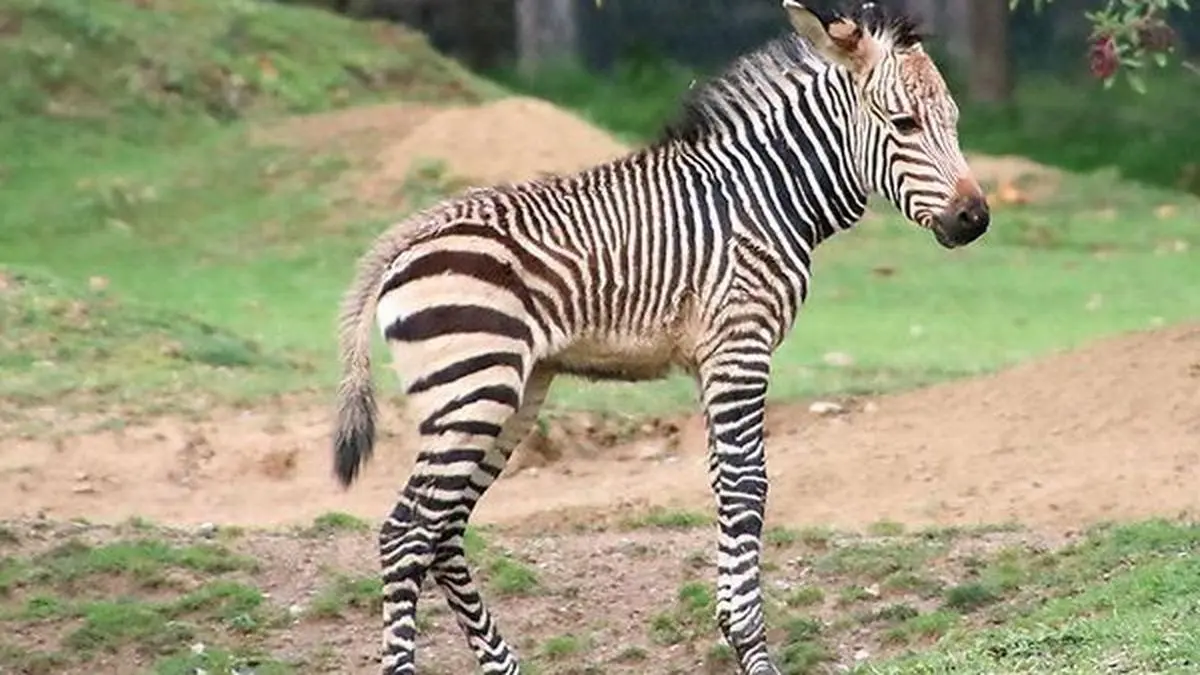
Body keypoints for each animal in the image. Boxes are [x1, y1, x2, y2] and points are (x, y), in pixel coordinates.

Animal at [332, 1, 990, 673]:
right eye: (904, 123)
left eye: (954, 121)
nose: (975, 219)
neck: (762, 195)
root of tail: (408, 239)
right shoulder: (741, 344)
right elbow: (749, 485)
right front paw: (752, 648)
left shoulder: (713, 359)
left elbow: (724, 483)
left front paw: (733, 628)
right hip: (472, 390)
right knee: (407, 532)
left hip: (508, 394)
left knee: (443, 530)